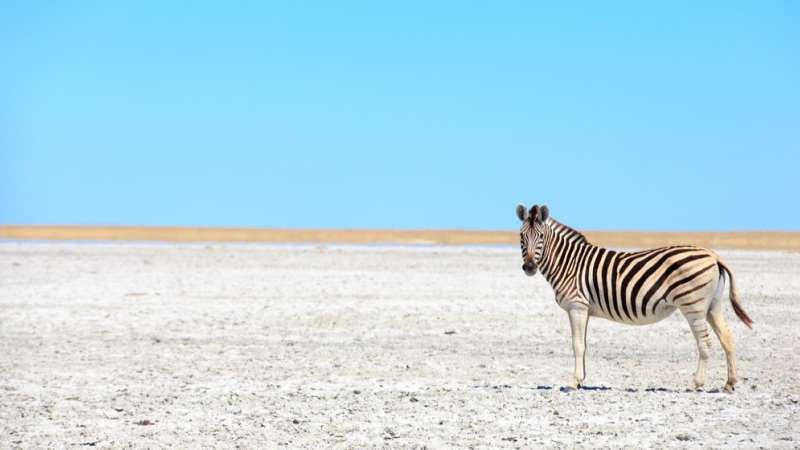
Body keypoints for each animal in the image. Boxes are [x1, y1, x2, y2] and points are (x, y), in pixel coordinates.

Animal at [516, 203, 753, 392]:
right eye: (521, 237)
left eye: (541, 237)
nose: (529, 267)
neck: (567, 263)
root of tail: (713, 255)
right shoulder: (585, 310)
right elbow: (584, 344)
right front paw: (582, 380)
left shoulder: (577, 307)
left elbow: (577, 345)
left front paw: (574, 382)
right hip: (713, 305)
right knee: (727, 337)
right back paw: (729, 383)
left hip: (692, 305)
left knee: (705, 342)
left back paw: (696, 383)